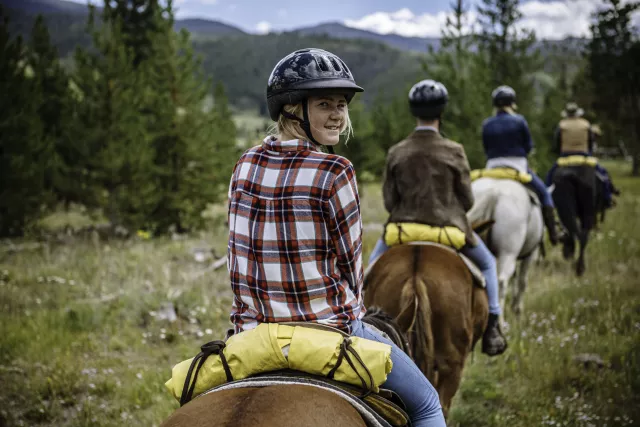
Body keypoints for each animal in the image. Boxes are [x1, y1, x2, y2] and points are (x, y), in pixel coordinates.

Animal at [468, 178, 544, 318]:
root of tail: (494, 192)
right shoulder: (530, 255)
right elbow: (522, 281)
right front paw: (517, 309)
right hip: (508, 254)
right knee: (502, 282)